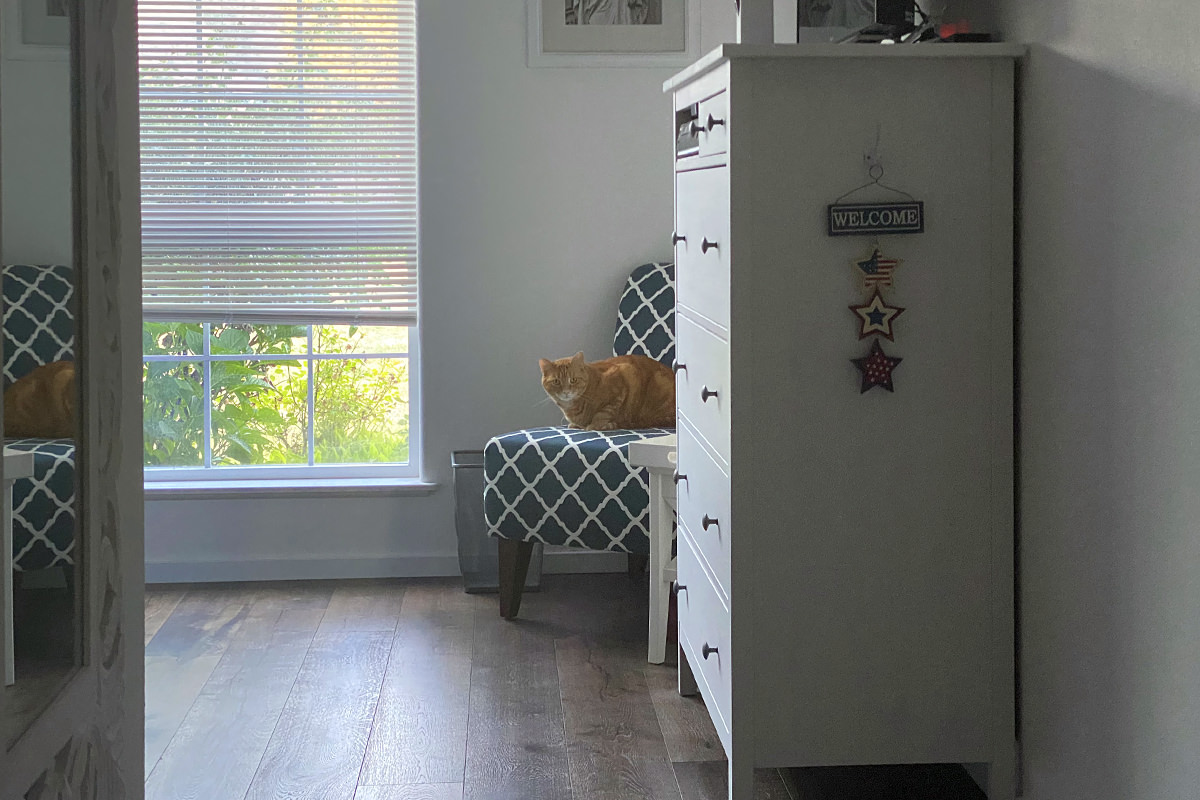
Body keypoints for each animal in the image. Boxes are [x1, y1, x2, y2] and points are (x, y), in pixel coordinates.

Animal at [542, 352, 676, 431]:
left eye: (573, 380)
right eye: (556, 381)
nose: (566, 392)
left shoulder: (623, 377)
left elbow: (603, 413)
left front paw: (595, 425)